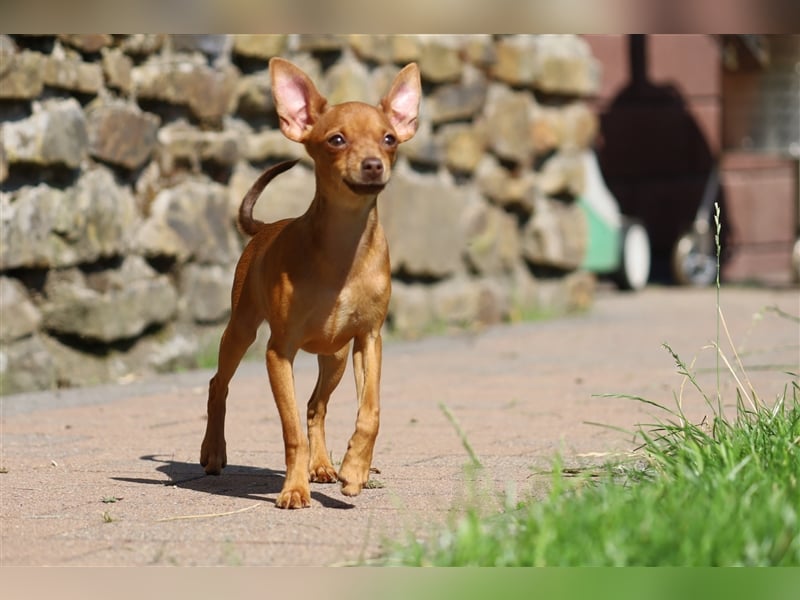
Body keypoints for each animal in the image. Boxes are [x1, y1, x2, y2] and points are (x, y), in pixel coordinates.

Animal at [200, 56, 422, 508]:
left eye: (389, 139)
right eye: (336, 140)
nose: (374, 164)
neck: (343, 250)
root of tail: (267, 227)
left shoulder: (368, 340)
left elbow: (370, 412)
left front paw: (354, 469)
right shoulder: (278, 353)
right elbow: (290, 433)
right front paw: (293, 489)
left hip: (335, 356)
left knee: (315, 406)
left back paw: (323, 465)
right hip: (241, 331)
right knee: (218, 385)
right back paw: (214, 452)